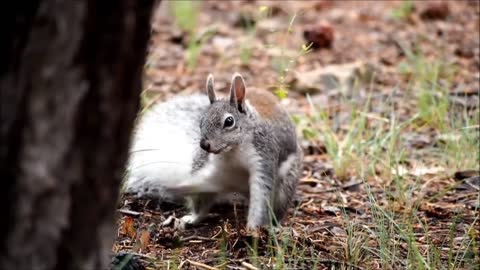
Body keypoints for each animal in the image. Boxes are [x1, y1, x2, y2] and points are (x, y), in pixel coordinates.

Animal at [125, 73, 302, 229]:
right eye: (201, 121)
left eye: (229, 121)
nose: (204, 144)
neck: (233, 152)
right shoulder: (209, 168)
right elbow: (200, 198)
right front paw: (192, 218)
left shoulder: (263, 159)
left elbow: (261, 198)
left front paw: (253, 228)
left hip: (285, 185)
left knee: (278, 205)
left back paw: (275, 226)